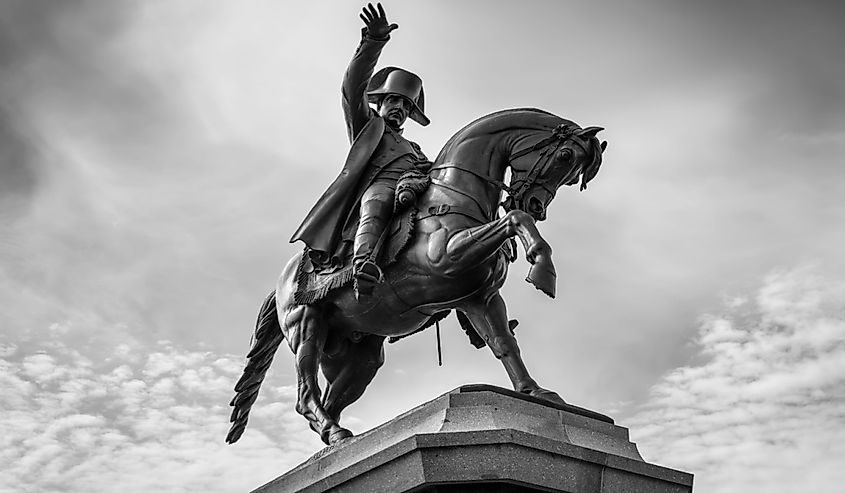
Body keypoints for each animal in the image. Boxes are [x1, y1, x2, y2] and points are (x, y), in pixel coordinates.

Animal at [227, 107, 604, 446]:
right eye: (565, 156)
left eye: (573, 175)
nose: (535, 206)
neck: (454, 193)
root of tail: (280, 283)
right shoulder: (448, 256)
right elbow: (513, 220)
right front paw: (542, 269)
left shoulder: (480, 298)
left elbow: (504, 344)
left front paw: (534, 391)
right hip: (306, 326)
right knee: (306, 394)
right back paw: (335, 433)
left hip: (358, 357)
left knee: (329, 401)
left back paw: (338, 442)